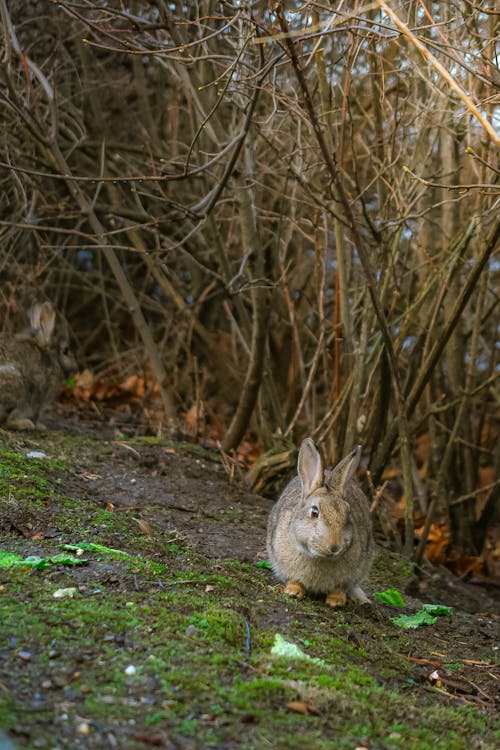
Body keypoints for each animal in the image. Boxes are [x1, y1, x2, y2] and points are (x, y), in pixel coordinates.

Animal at [0, 300, 76, 428]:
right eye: (65, 351)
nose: (76, 367)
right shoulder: (40, 397)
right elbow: (36, 413)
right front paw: (40, 426)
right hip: (16, 386)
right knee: (6, 420)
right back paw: (25, 423)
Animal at [268, 438, 374, 608]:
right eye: (314, 512)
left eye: (348, 514)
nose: (334, 547)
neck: (320, 557)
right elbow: (294, 580)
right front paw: (293, 591)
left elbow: (339, 588)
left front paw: (336, 601)